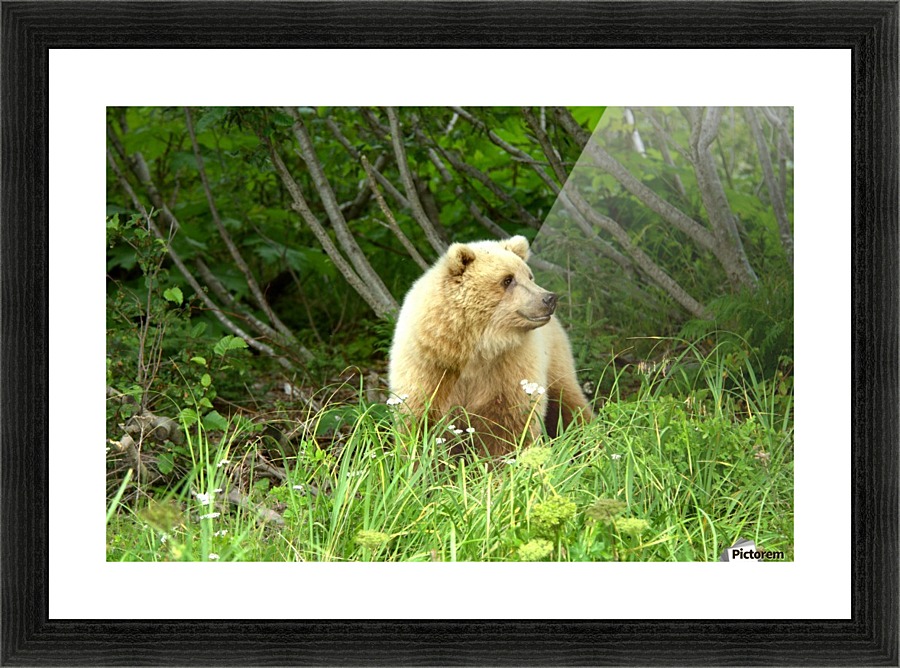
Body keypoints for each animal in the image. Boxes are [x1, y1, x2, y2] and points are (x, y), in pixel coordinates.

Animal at [388, 235, 592, 457]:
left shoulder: (508, 368)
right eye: (507, 279)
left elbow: (508, 426)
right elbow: (420, 422)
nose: (549, 298)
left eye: (529, 276)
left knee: (568, 403)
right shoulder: (430, 366)